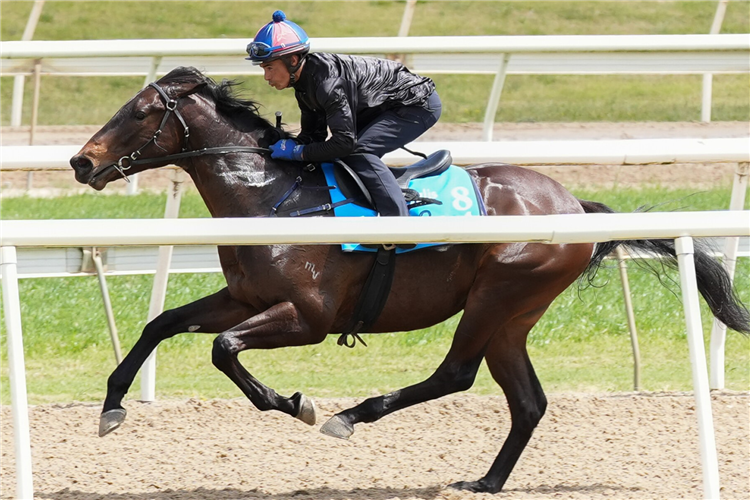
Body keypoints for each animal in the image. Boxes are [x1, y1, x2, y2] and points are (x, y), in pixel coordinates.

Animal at [70, 66, 750, 492]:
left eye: (141, 112)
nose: (81, 161)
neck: (271, 195)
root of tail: (572, 203)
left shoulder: (308, 318)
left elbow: (222, 348)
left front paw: (295, 404)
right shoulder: (244, 296)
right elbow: (164, 324)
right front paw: (111, 406)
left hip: (497, 294)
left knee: (456, 374)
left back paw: (353, 415)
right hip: (513, 316)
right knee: (527, 400)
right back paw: (486, 482)